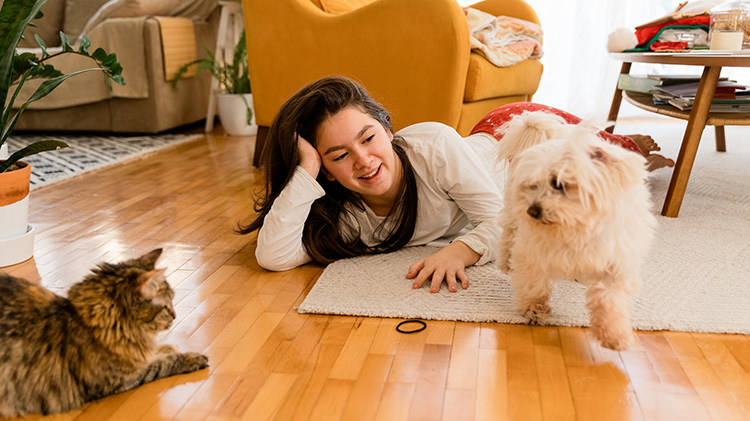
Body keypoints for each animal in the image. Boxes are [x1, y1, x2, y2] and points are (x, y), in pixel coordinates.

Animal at [0, 248, 209, 416]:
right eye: (166, 306)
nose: (175, 316)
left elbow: (154, 354)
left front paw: (166, 348)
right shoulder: (121, 379)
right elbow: (160, 364)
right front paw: (189, 358)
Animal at [500, 110, 656, 350]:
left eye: (558, 184)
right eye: (533, 185)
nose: (532, 210)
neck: (577, 227)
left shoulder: (617, 261)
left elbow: (610, 299)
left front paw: (614, 334)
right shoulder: (532, 251)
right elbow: (534, 283)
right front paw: (534, 308)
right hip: (512, 214)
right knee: (507, 234)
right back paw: (505, 261)